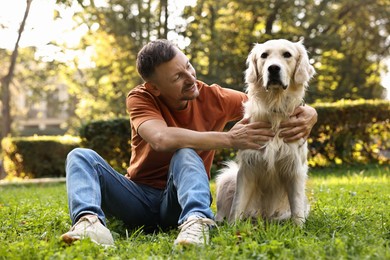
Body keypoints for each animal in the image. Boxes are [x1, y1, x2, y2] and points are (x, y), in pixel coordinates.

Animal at [215, 38, 316, 225]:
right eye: (264, 55)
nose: (273, 68)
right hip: (228, 177)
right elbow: (237, 206)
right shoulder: (247, 168)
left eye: (287, 54)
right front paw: (232, 228)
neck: (274, 108)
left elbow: (297, 207)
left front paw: (298, 228)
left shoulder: (294, 168)